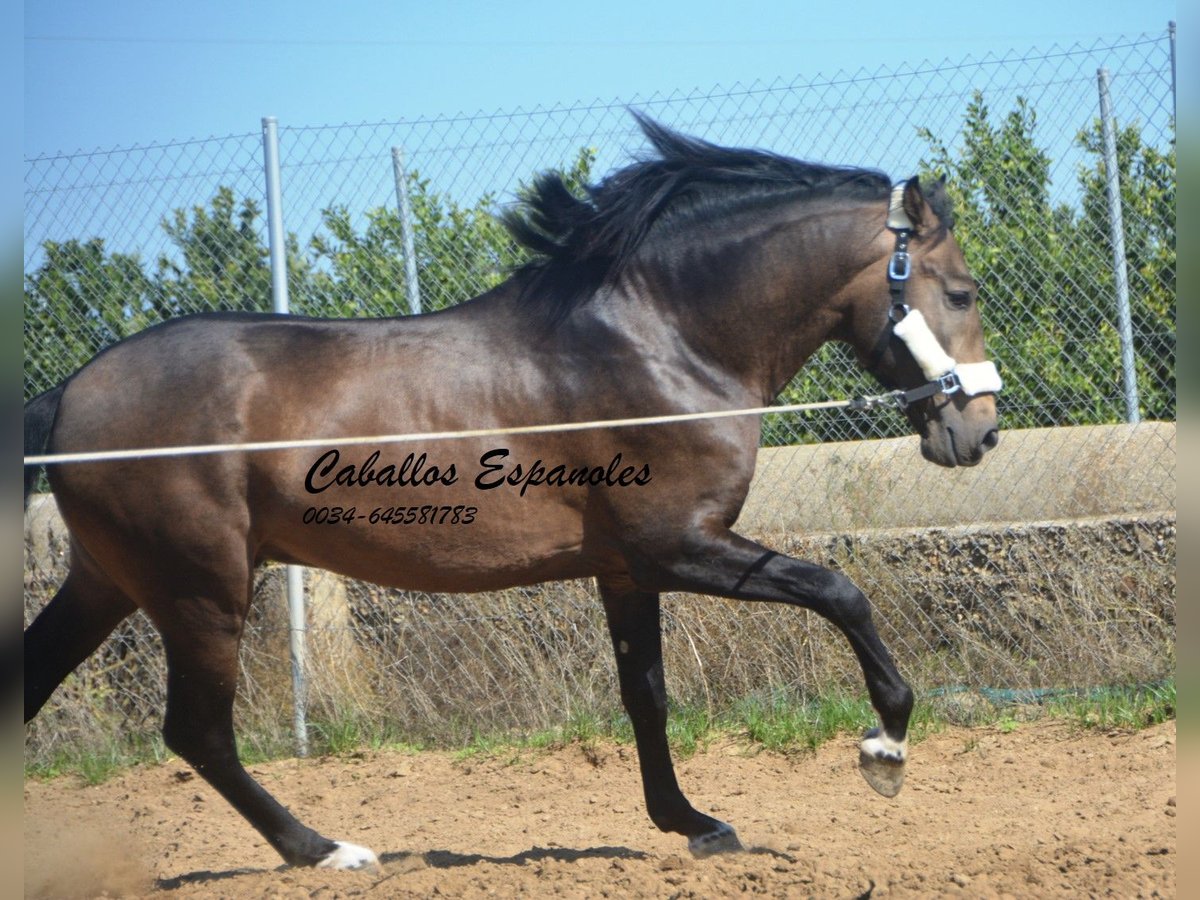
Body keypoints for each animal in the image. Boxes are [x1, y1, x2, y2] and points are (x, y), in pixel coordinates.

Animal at [23, 114, 998, 873]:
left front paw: (691, 823)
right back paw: (328, 850)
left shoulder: (625, 568)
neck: (664, 342)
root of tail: (69, 393)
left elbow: (646, 692)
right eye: (960, 290)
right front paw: (884, 749)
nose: (980, 432)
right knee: (198, 732)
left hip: (112, 581)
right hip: (201, 588)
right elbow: (840, 591)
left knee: (39, 680)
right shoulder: (677, 545)